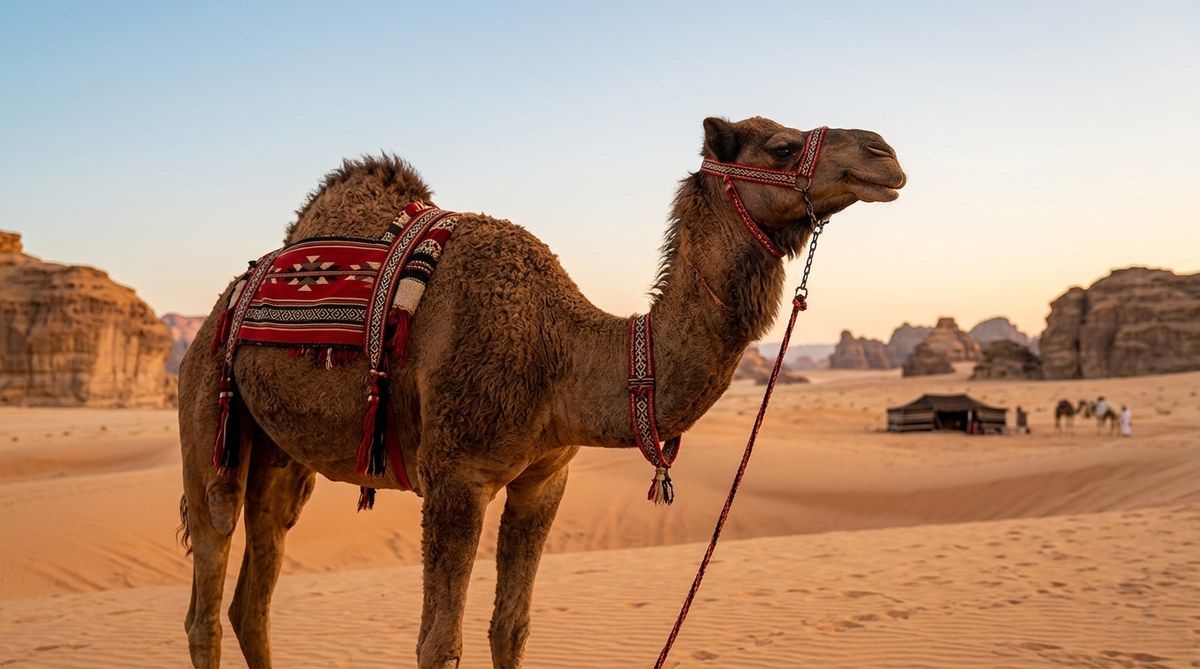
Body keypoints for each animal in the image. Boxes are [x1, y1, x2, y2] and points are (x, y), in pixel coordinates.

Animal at [177, 115, 905, 668]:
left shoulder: (544, 480)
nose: (885, 153)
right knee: (208, 578)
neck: (562, 354)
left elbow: (512, 628)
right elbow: (439, 643)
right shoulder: (457, 477)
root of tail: (227, 300)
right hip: (207, 409)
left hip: (281, 454)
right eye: (781, 146)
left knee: (254, 593)